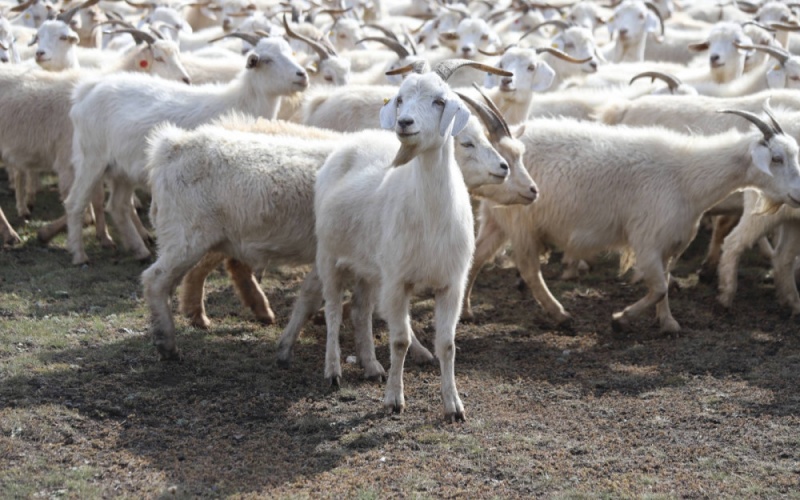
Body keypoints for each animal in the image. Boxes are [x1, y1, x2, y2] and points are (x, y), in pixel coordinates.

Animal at [65, 36, 308, 264]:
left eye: (290, 52)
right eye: (267, 60)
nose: (302, 76)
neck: (239, 102)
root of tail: (86, 90)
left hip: (122, 169)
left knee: (118, 206)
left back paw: (140, 250)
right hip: (91, 159)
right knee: (75, 202)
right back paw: (79, 255)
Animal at [460, 106, 800, 332]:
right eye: (776, 158)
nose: (798, 194)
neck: (687, 177)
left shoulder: (671, 242)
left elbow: (664, 283)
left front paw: (668, 323)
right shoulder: (646, 240)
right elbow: (660, 287)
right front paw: (621, 319)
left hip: (498, 219)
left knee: (476, 259)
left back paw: (466, 311)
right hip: (522, 222)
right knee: (530, 269)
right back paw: (559, 314)